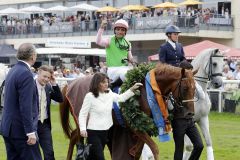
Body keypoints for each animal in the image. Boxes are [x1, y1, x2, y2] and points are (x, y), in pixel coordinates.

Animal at [59, 62, 197, 160]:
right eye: (185, 88)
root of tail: (69, 85)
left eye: (195, 89)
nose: (190, 113)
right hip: (81, 119)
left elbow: (137, 152)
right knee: (77, 137)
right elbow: (154, 148)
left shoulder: (144, 126)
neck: (148, 91)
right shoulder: (133, 124)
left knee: (73, 136)